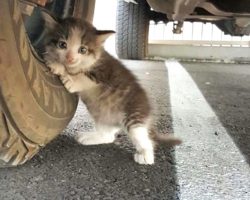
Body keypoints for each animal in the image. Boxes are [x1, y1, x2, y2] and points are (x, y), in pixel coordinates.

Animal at [42, 12, 181, 166]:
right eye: (62, 44)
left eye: (82, 49)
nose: (70, 58)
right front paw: (54, 60)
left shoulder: (104, 72)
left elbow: (82, 77)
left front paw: (63, 71)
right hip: (101, 115)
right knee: (108, 136)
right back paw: (90, 137)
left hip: (134, 114)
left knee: (141, 136)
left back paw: (146, 155)